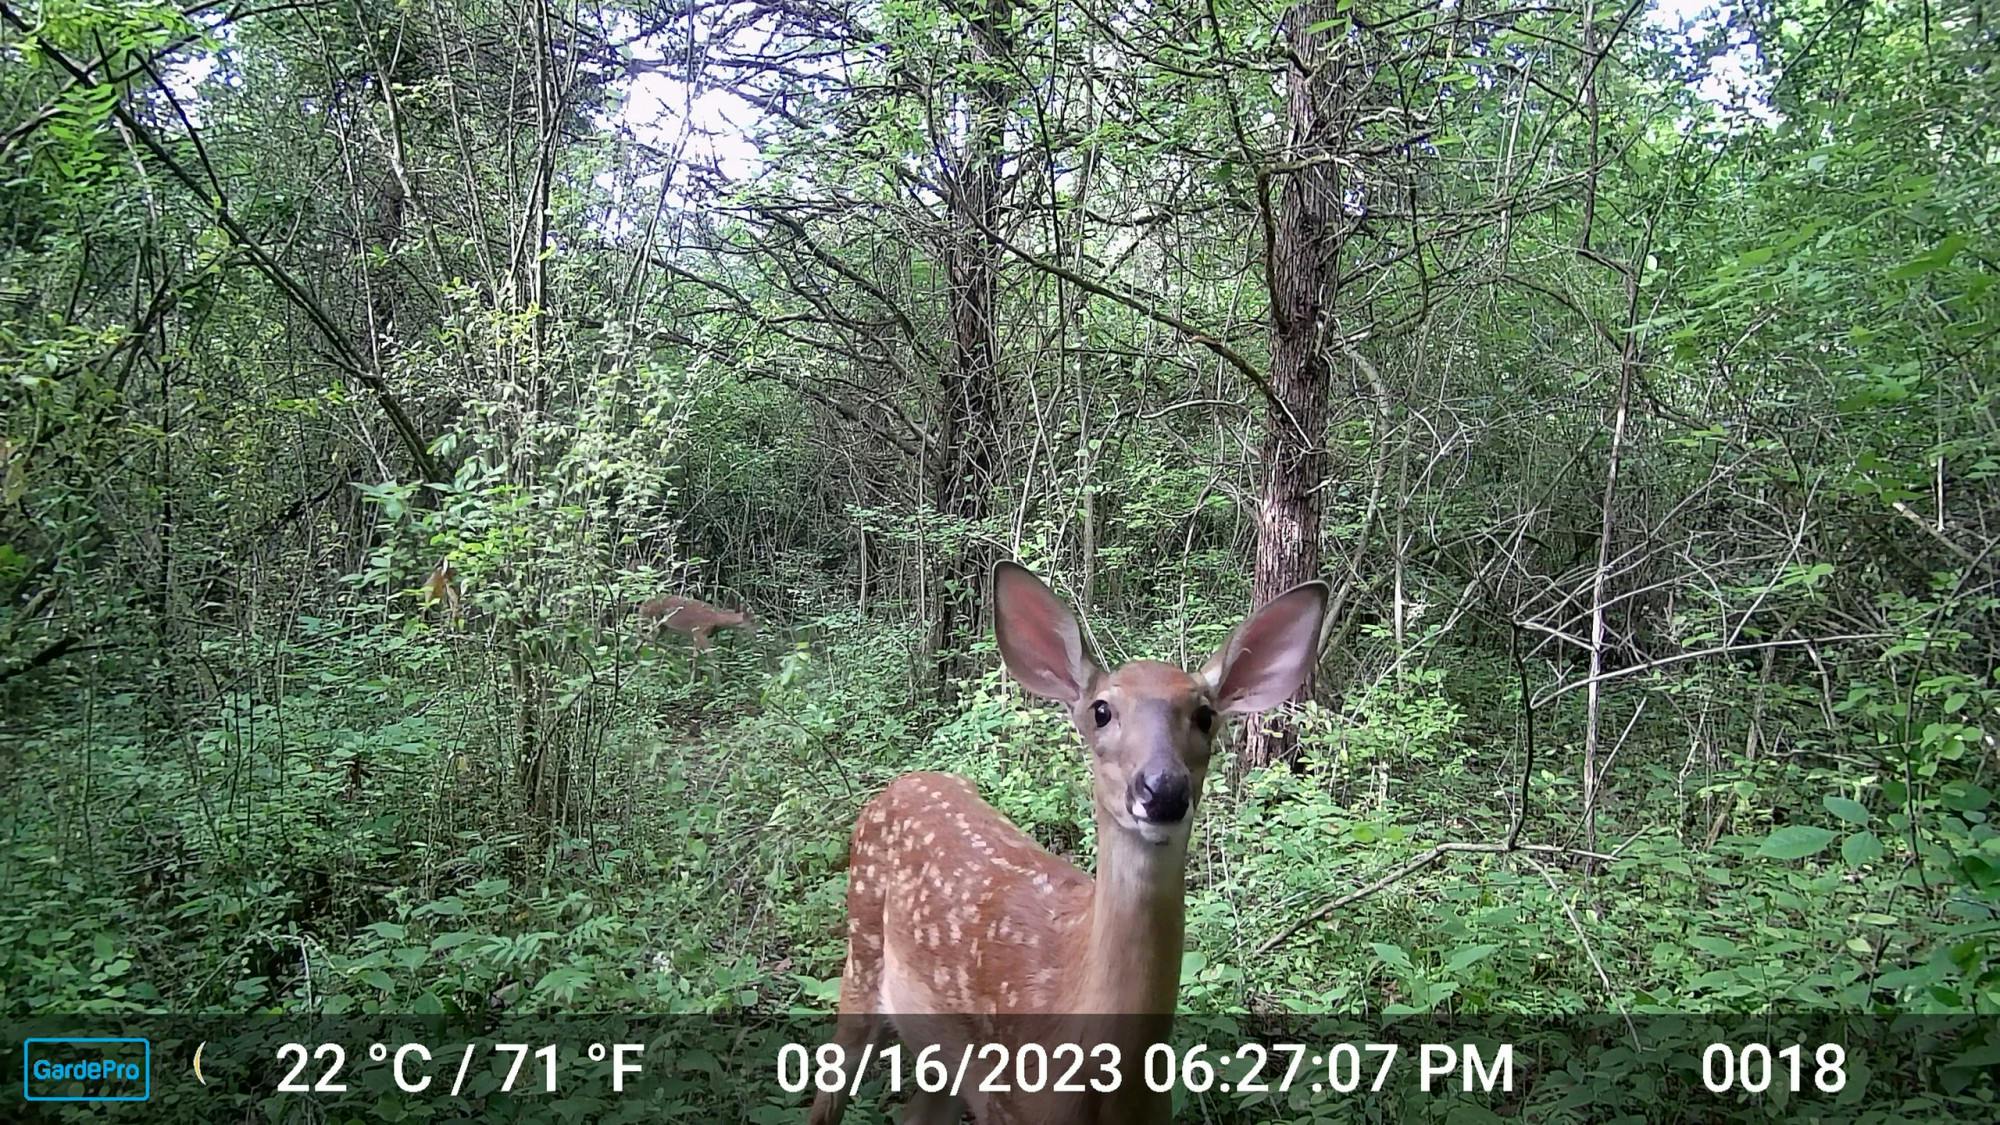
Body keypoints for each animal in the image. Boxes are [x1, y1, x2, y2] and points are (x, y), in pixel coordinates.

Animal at [809, 561, 1328, 1125]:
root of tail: (900, 784)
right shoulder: (1007, 1104)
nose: (1162, 790)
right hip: (861, 955)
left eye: (1205, 715)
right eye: (1101, 711)